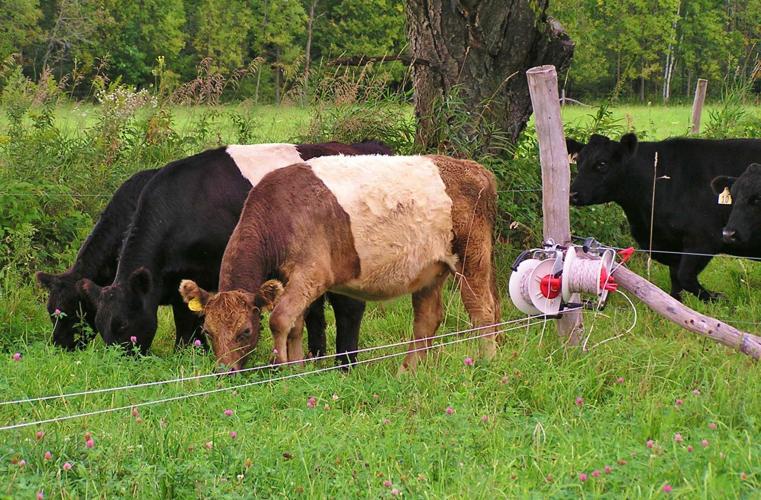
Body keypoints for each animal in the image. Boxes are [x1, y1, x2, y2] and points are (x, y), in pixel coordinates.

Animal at [78, 142, 392, 364]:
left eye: (123, 325)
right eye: (99, 325)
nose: (118, 365)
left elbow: (191, 319)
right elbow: (189, 317)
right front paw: (192, 352)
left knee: (348, 307)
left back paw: (345, 362)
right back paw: (316, 358)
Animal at [178, 155, 501, 373]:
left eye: (245, 331)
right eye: (208, 331)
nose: (224, 372)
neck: (280, 213)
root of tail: (474, 168)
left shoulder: (312, 274)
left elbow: (279, 319)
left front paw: (279, 368)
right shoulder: (292, 279)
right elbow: (295, 324)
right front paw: (297, 368)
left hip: (471, 257)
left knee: (483, 310)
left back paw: (486, 362)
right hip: (430, 270)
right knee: (427, 319)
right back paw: (406, 372)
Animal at [567, 133, 761, 301]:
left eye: (602, 163)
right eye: (578, 161)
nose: (572, 194)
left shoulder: (703, 239)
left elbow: (685, 277)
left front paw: (717, 298)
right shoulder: (672, 245)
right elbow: (675, 281)